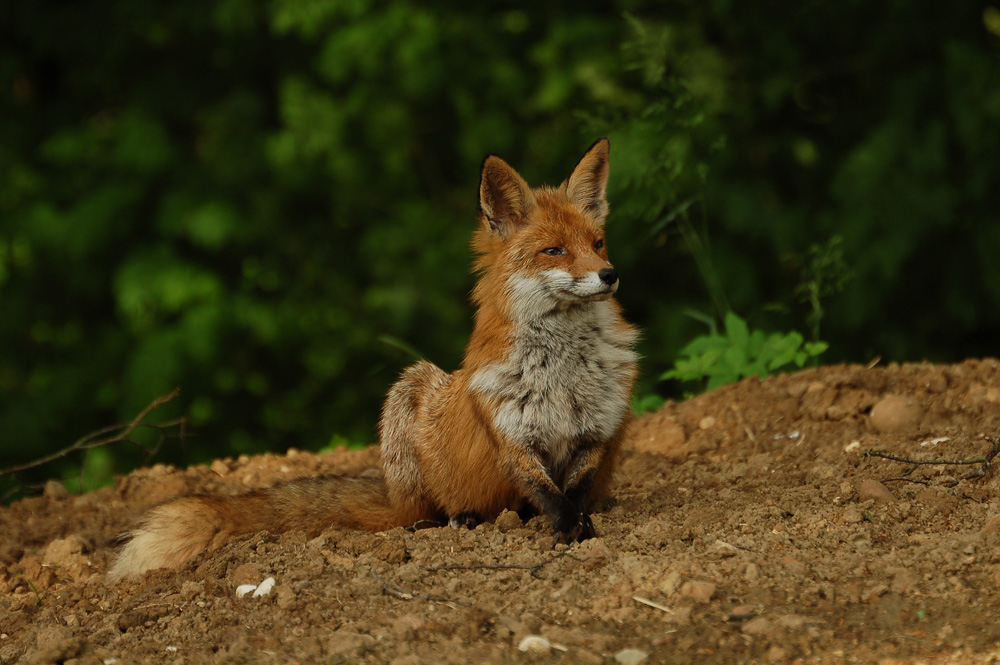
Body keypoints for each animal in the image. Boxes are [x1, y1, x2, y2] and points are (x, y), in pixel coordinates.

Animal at [109, 137, 636, 580]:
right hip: (410, 389)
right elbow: (547, 492)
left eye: (597, 244)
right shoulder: (512, 437)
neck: (562, 373)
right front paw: (568, 529)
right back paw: (455, 520)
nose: (609, 275)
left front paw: (582, 525)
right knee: (422, 516)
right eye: (554, 251)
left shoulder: (595, 433)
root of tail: (390, 494)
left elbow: (577, 490)